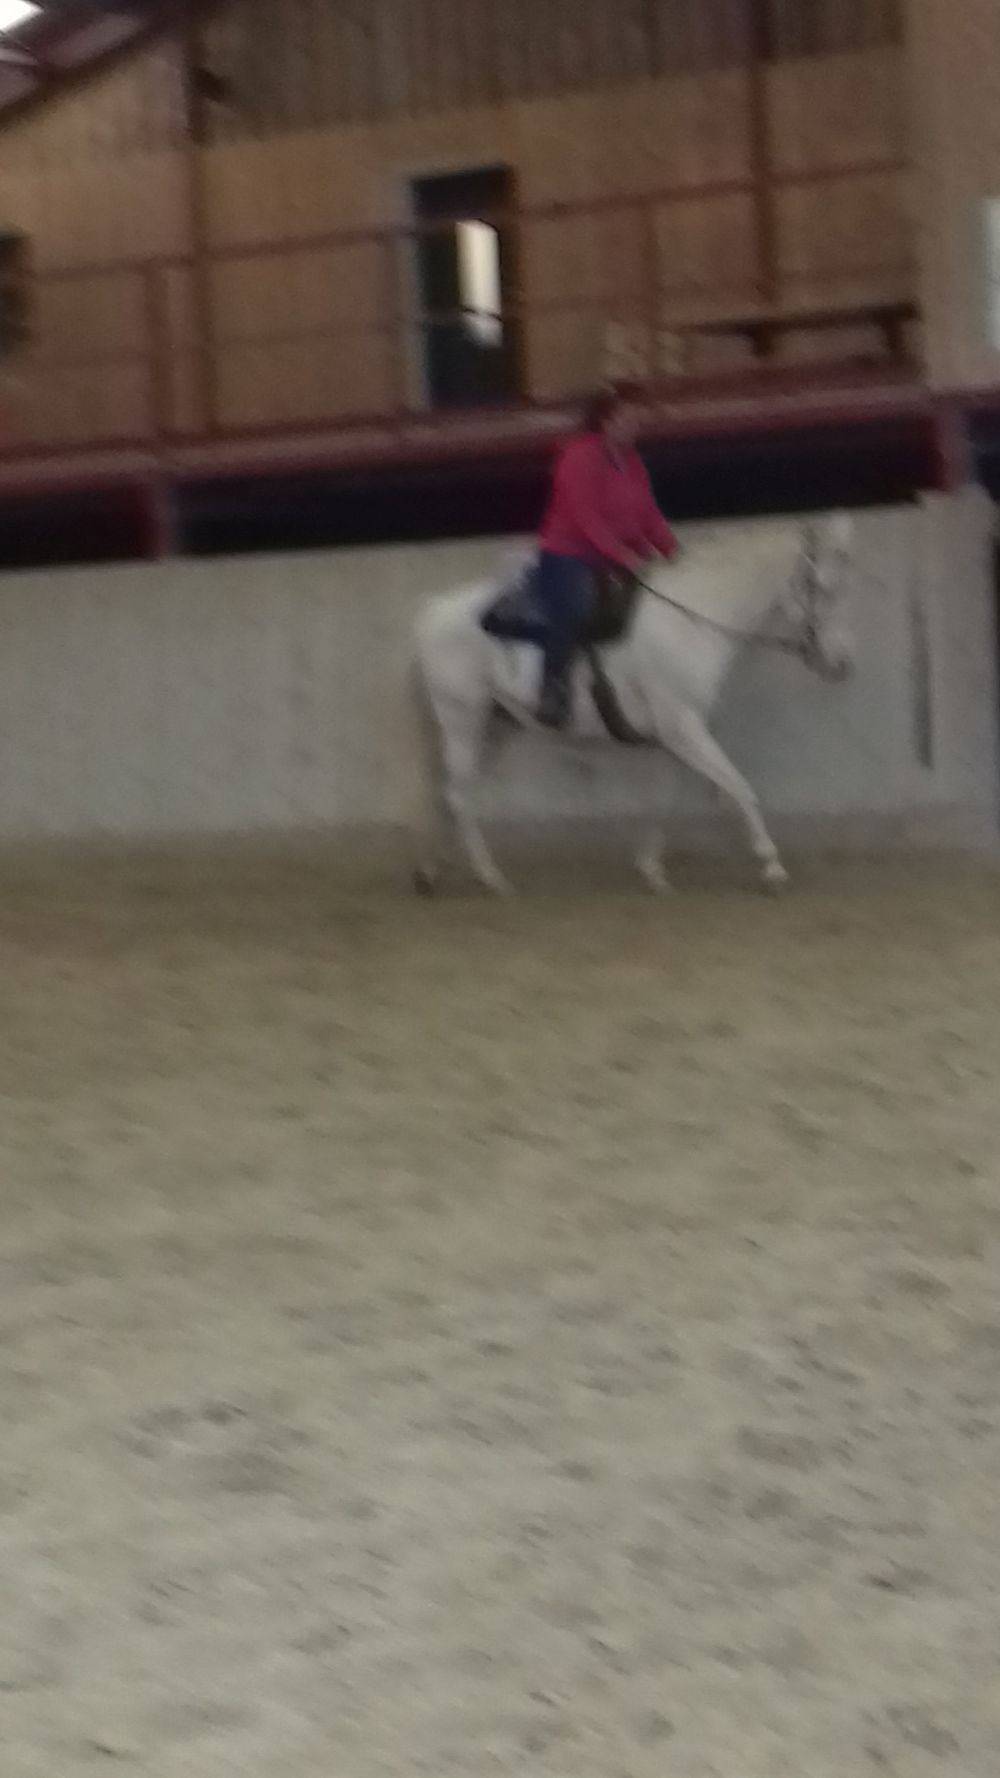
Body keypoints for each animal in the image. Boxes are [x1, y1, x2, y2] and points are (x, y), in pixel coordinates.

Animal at [411, 513, 855, 896]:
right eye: (822, 588)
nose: (842, 664)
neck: (691, 621)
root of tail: (434, 609)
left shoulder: (675, 737)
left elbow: (664, 801)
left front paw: (651, 870)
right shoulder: (684, 727)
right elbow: (740, 789)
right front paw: (772, 868)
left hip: (497, 725)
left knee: (456, 794)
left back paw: (435, 870)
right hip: (462, 720)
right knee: (460, 795)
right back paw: (491, 878)